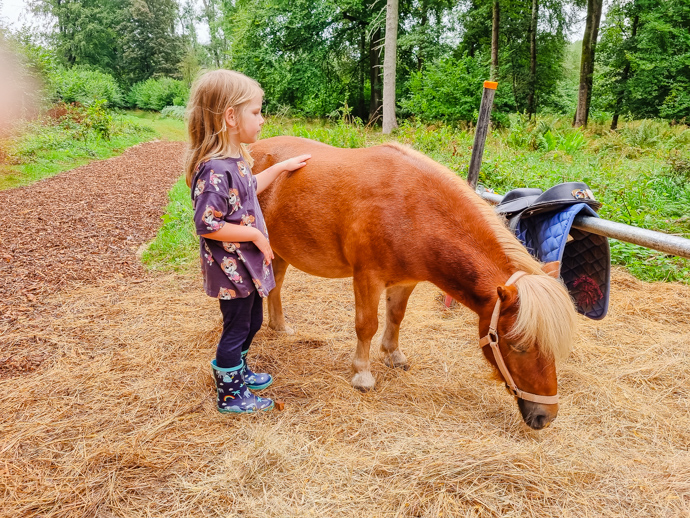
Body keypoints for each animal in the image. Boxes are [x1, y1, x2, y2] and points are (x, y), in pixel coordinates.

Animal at [249, 135, 576, 430]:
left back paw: (280, 326)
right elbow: (366, 325)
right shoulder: (367, 278)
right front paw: (362, 374)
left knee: (276, 284)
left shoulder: (406, 282)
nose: (545, 417)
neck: (413, 210)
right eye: (517, 345)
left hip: (279, 248)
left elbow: (396, 317)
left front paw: (394, 356)